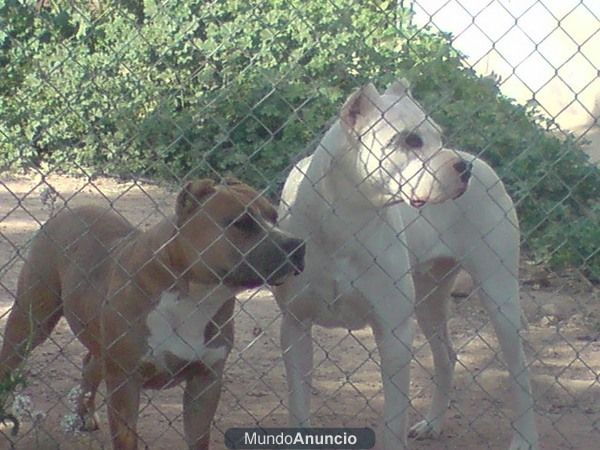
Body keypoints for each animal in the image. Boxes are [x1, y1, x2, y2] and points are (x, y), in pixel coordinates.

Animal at [0, 179, 304, 450]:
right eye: (241, 222)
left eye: (275, 217)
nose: (297, 244)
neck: (197, 296)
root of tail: (67, 212)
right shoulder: (125, 382)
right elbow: (126, 440)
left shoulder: (205, 382)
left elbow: (199, 439)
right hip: (31, 319)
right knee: (10, 360)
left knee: (90, 362)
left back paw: (84, 414)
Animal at [274, 81, 536, 450]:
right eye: (411, 140)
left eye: (439, 136)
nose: (463, 169)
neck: (345, 221)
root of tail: (482, 163)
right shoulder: (295, 327)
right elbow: (298, 408)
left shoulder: (394, 334)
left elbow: (394, 419)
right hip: (429, 300)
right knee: (445, 355)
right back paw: (433, 424)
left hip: (500, 298)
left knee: (519, 371)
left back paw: (524, 438)